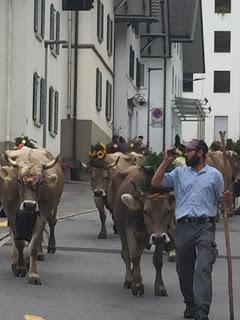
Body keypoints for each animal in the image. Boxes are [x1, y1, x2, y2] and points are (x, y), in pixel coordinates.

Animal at [0, 148, 63, 284]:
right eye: (19, 181)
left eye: (41, 182)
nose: (29, 205)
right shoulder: (11, 213)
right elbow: (18, 242)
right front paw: (20, 267)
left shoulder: (42, 214)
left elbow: (33, 245)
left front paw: (33, 274)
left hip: (54, 206)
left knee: (52, 223)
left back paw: (49, 247)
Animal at [111, 166, 173, 296]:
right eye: (146, 211)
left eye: (167, 211)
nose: (157, 237)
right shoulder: (130, 231)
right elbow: (133, 256)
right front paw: (137, 285)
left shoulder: (162, 234)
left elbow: (157, 260)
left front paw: (160, 287)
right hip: (121, 230)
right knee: (126, 254)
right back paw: (129, 279)